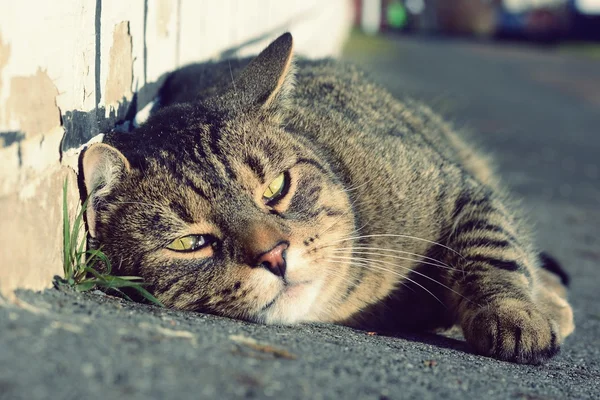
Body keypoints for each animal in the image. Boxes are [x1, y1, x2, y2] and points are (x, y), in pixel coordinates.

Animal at [82, 33, 576, 366]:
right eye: (190, 244)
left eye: (276, 188)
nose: (275, 255)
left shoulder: (456, 187)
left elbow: (491, 251)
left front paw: (513, 313)